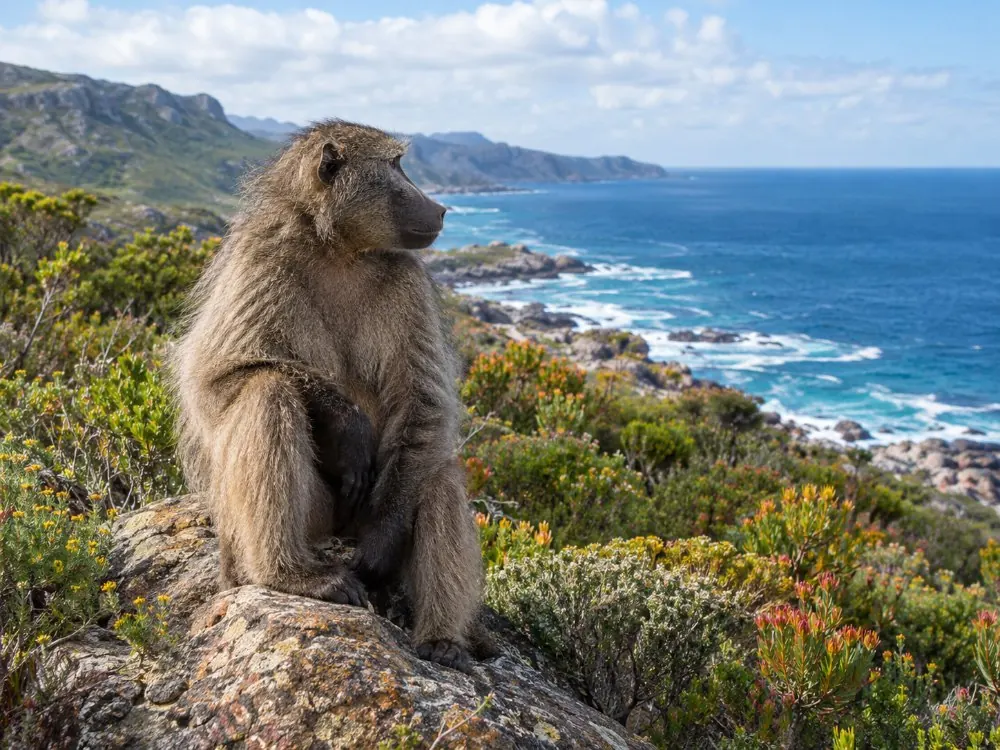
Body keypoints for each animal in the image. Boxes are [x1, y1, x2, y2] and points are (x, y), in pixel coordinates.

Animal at [171, 119, 483, 671]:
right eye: (396, 166)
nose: (442, 209)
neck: (338, 249)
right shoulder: (259, 260)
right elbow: (216, 377)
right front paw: (346, 424)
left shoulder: (408, 280)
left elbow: (422, 401)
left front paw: (382, 546)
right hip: (303, 520)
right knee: (268, 390)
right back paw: (291, 576)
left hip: (363, 513)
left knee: (434, 468)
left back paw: (441, 640)